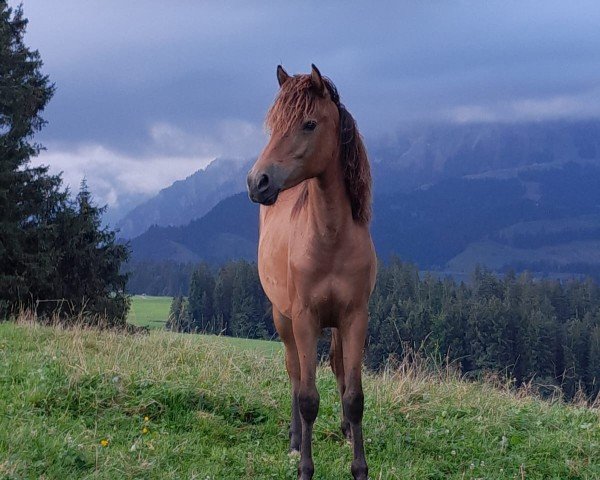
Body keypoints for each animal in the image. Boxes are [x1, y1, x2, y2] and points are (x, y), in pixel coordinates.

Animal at [247, 64, 376, 480]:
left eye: (308, 124)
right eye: (273, 124)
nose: (257, 181)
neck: (330, 240)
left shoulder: (354, 318)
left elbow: (354, 395)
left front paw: (359, 466)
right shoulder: (304, 318)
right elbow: (307, 397)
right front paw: (305, 467)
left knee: (336, 370)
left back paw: (347, 433)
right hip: (283, 318)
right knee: (294, 374)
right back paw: (293, 441)